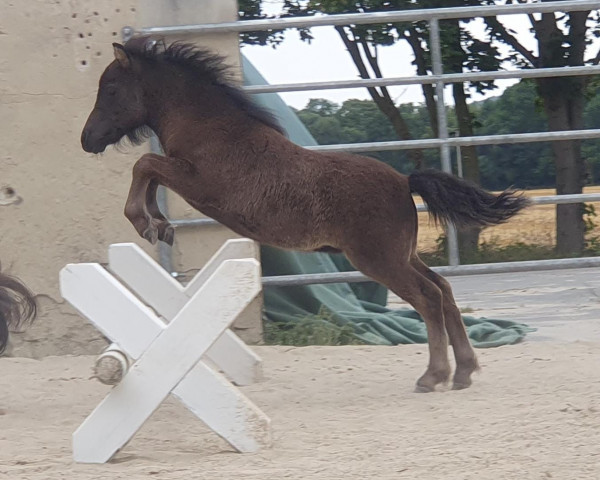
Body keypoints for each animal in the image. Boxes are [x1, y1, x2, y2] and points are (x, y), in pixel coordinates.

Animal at [81, 36, 528, 390]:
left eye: (111, 88)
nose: (87, 139)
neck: (211, 128)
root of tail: (404, 182)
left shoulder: (198, 183)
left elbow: (146, 166)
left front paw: (146, 222)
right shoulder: (184, 176)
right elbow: (150, 173)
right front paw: (160, 226)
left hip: (379, 260)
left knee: (430, 298)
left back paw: (433, 376)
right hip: (403, 255)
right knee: (445, 291)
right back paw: (464, 371)